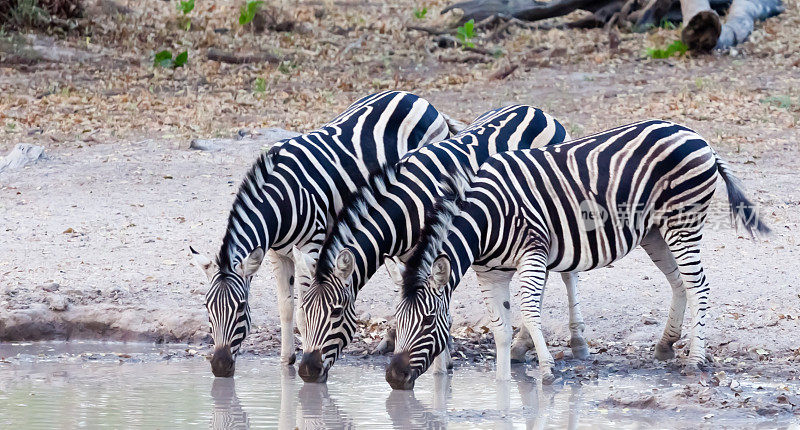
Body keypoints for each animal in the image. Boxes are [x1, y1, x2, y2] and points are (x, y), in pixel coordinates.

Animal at [185, 90, 456, 376]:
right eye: (207, 308)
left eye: (240, 308)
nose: (219, 366)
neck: (281, 197)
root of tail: (417, 97)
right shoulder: (277, 254)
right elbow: (285, 307)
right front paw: (286, 362)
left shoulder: (310, 247)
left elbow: (304, 310)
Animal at [290, 105, 584, 382]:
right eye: (304, 312)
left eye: (336, 313)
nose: (307, 371)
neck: (406, 206)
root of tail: (536, 110)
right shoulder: (406, 256)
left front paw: (441, 365)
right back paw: (522, 344)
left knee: (567, 274)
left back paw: (575, 342)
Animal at [388, 119, 768, 388]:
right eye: (397, 321)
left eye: (427, 321)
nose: (393, 378)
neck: (485, 221)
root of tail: (697, 136)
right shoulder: (489, 273)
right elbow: (501, 327)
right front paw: (502, 385)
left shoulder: (533, 252)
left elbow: (530, 312)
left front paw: (546, 370)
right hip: (655, 232)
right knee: (679, 283)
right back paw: (665, 345)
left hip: (682, 222)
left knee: (698, 286)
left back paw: (694, 359)